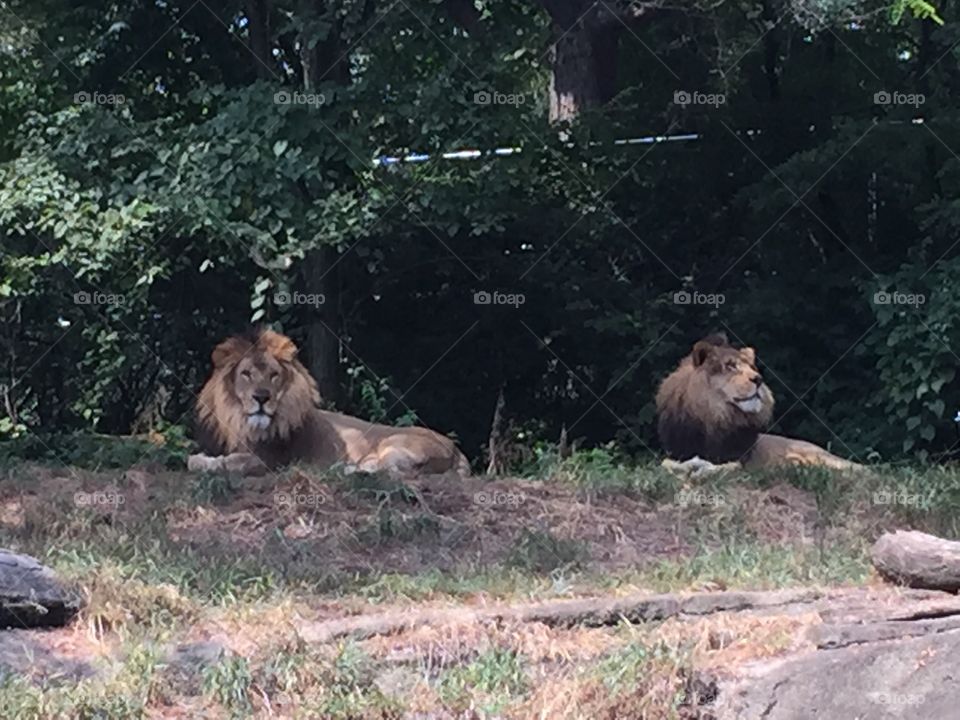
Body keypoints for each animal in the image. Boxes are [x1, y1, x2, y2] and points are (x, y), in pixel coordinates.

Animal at [186, 329, 470, 477]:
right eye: (246, 374)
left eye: (274, 375)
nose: (262, 397)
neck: (243, 422)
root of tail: (457, 452)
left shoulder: (271, 461)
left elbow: (230, 463)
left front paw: (203, 462)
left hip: (394, 443)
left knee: (393, 471)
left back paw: (347, 469)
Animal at [655, 333, 861, 473]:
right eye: (730, 366)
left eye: (752, 368)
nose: (758, 379)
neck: (715, 417)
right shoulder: (676, 453)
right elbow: (666, 464)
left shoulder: (741, 460)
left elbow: (730, 467)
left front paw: (704, 469)